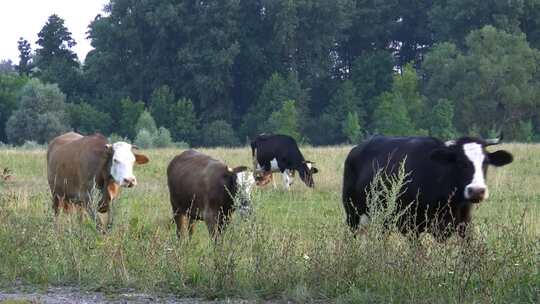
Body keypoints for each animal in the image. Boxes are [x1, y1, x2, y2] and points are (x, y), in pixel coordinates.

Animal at [344, 135, 512, 240]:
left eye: (486, 162)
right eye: (460, 162)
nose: (477, 191)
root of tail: (356, 149)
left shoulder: (464, 224)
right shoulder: (411, 226)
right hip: (353, 216)